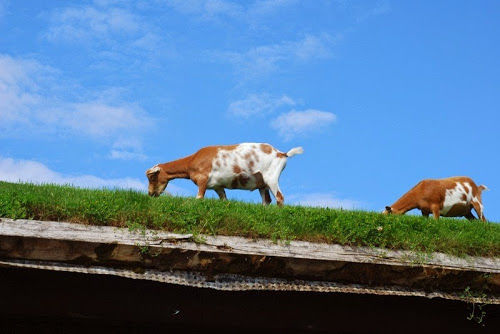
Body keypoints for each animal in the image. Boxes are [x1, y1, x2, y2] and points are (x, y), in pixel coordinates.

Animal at [144, 142, 300, 205]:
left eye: (152, 177)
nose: (150, 194)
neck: (192, 161)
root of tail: (281, 153)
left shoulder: (202, 181)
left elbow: (199, 198)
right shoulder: (217, 187)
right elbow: (225, 200)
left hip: (271, 177)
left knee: (280, 197)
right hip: (262, 183)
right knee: (266, 200)